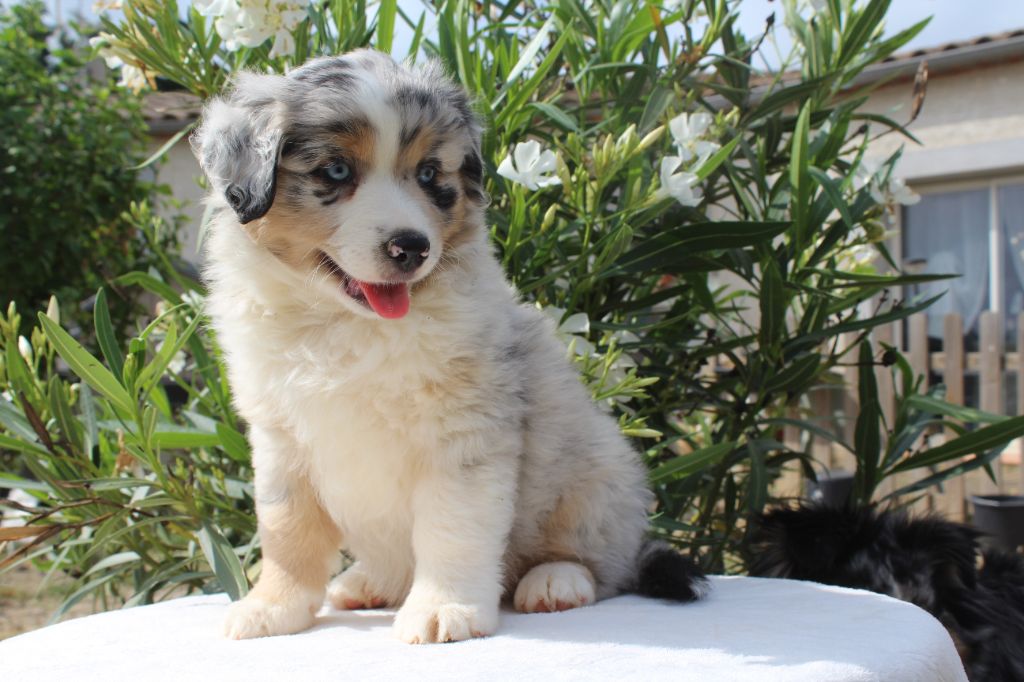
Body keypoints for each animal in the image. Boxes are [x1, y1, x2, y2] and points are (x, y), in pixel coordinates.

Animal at [192, 50, 706, 644]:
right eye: (336, 171)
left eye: (429, 174)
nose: (411, 247)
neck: (345, 325)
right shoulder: (280, 439)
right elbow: (286, 530)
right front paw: (272, 609)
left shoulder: (462, 435)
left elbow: (452, 528)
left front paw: (444, 609)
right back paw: (366, 583)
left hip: (598, 479)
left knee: (604, 564)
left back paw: (556, 581)